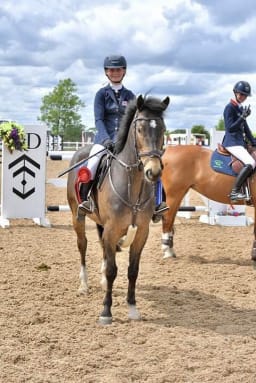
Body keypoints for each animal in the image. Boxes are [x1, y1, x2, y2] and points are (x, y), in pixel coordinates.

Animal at [67, 95, 169, 324]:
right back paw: (84, 285)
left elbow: (133, 270)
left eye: (163, 130)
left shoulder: (141, 232)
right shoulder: (112, 230)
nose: (153, 172)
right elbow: (113, 270)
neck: (132, 185)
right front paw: (106, 311)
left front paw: (132, 308)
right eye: (139, 129)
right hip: (77, 217)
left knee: (102, 248)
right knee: (83, 245)